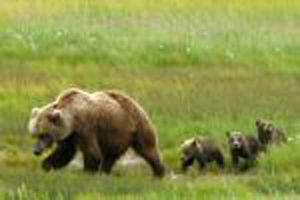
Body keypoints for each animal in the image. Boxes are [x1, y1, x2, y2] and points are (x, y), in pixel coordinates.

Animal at [29, 88, 165, 177]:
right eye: (35, 135)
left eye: (43, 134)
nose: (36, 151)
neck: (72, 119)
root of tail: (132, 100)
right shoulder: (69, 135)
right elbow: (65, 152)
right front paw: (47, 165)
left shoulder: (85, 128)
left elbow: (92, 152)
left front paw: (87, 171)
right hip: (116, 135)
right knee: (110, 155)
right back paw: (104, 171)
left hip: (135, 125)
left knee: (147, 148)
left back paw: (159, 172)